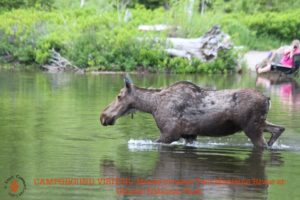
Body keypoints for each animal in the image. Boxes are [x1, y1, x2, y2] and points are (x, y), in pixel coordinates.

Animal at [100, 76, 284, 148]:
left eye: (119, 96)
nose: (103, 116)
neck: (152, 106)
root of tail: (268, 99)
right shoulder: (189, 135)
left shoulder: (170, 133)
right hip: (260, 123)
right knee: (279, 128)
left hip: (252, 128)